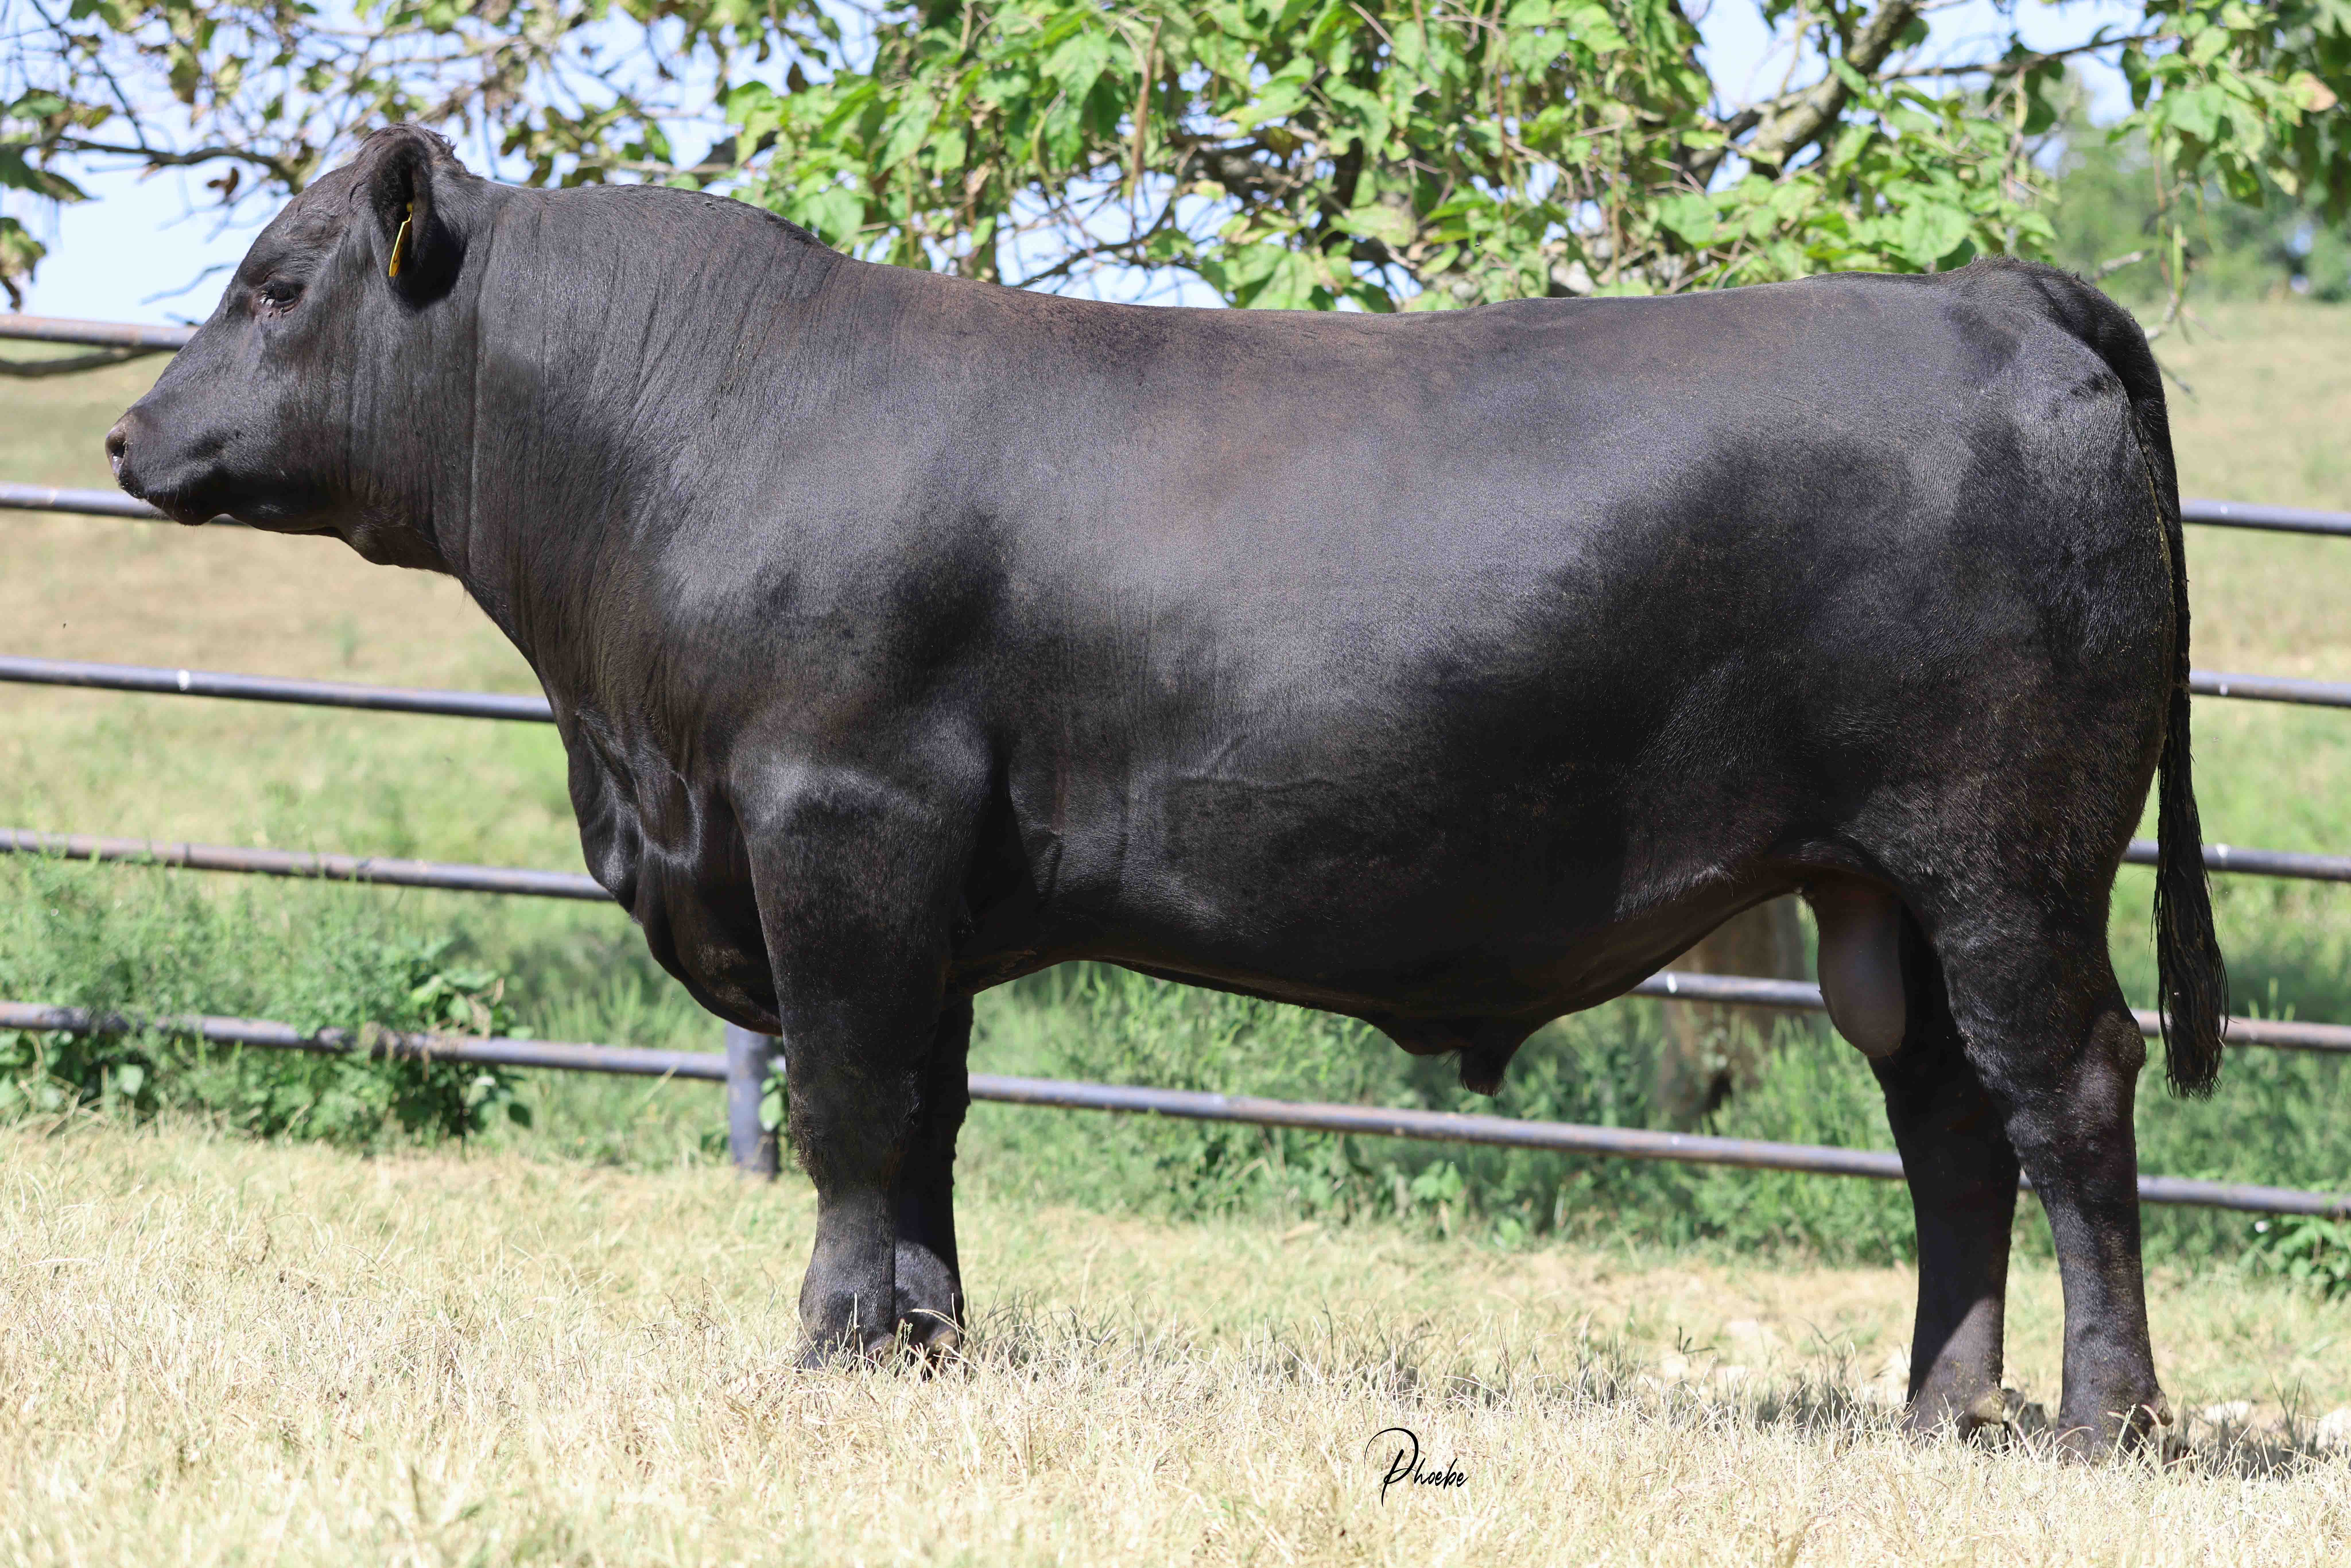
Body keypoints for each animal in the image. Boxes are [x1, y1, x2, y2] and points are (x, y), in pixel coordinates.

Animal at [106, 126, 2227, 1455]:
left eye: (276, 283)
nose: (128, 436)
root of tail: (1992, 296)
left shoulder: (836, 824)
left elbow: (850, 1108)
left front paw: (831, 1347)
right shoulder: (917, 885)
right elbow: (930, 1116)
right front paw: (928, 1345)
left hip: (2002, 854)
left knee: (2064, 1096)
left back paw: (2102, 1419)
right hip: (1880, 887)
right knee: (1948, 1126)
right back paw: (1941, 1408)